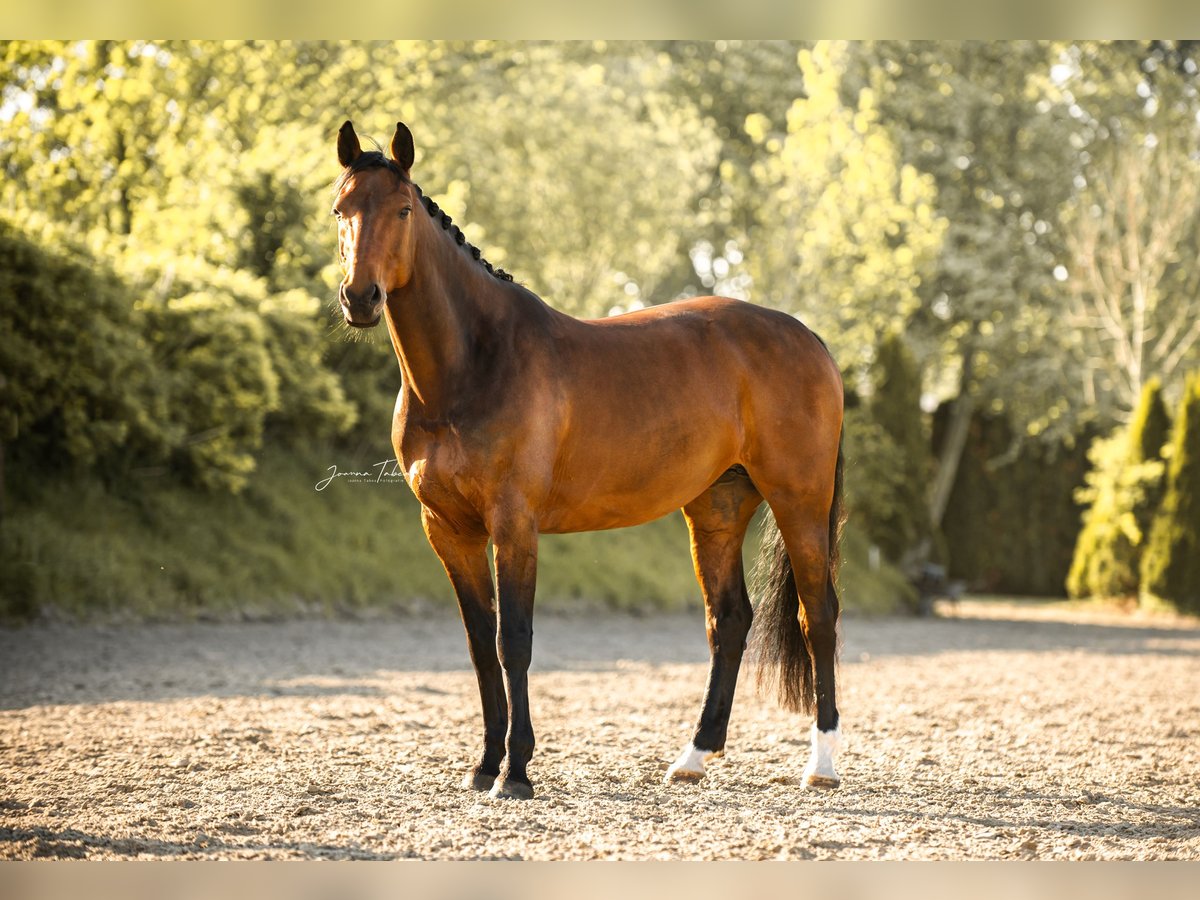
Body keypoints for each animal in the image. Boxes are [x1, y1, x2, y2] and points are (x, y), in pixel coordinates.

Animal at [333, 121, 849, 801]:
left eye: (402, 210)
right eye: (341, 210)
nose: (360, 298)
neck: (471, 364)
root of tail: (809, 338)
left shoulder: (514, 525)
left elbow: (513, 641)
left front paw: (516, 773)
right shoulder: (448, 530)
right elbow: (479, 646)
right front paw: (484, 766)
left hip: (800, 502)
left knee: (818, 616)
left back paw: (822, 764)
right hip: (717, 507)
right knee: (730, 619)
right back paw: (693, 756)